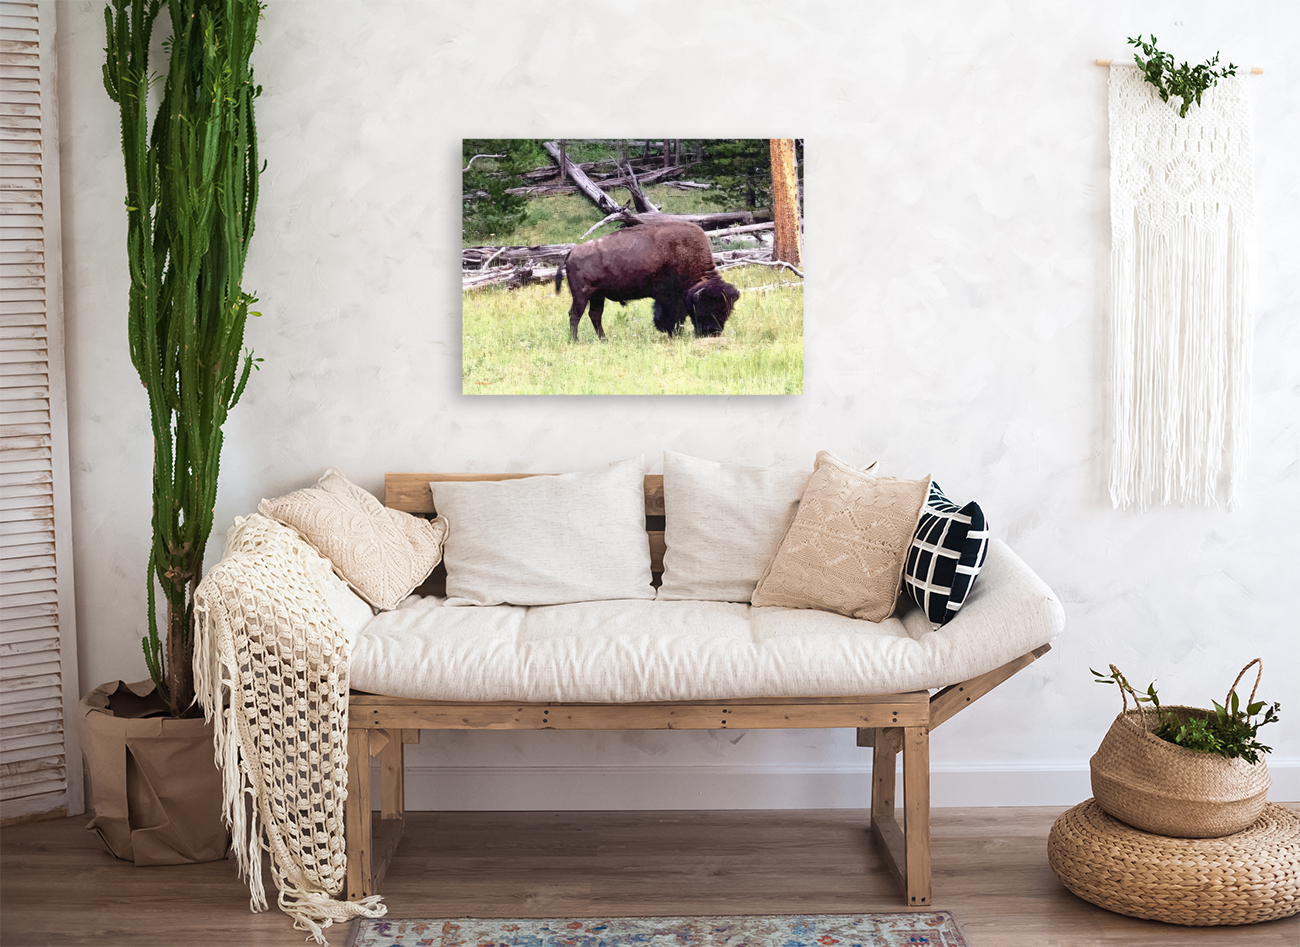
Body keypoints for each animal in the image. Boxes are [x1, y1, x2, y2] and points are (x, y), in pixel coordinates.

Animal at [554, 220, 740, 341]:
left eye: (727, 311)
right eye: (706, 308)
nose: (713, 332)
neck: (683, 254)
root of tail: (572, 252)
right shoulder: (667, 297)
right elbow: (671, 315)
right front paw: (673, 333)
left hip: (597, 295)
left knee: (594, 315)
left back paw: (604, 340)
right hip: (582, 294)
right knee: (575, 315)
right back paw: (576, 341)